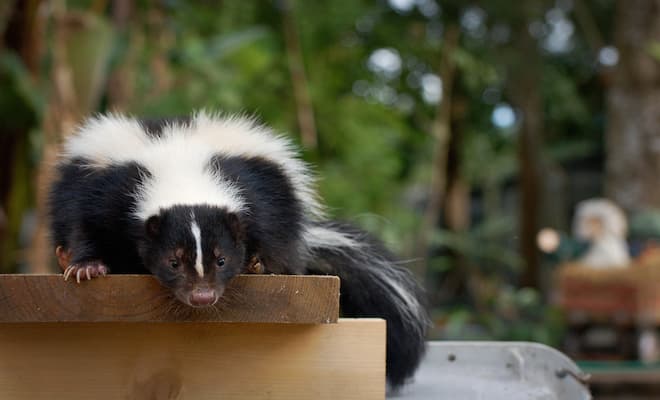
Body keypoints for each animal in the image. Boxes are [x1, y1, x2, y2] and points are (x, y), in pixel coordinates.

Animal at [46, 111, 428, 388]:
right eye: (173, 261)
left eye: (221, 259)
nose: (202, 296)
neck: (181, 166)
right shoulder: (107, 185)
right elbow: (85, 223)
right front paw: (87, 265)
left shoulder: (257, 187)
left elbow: (270, 228)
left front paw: (260, 264)